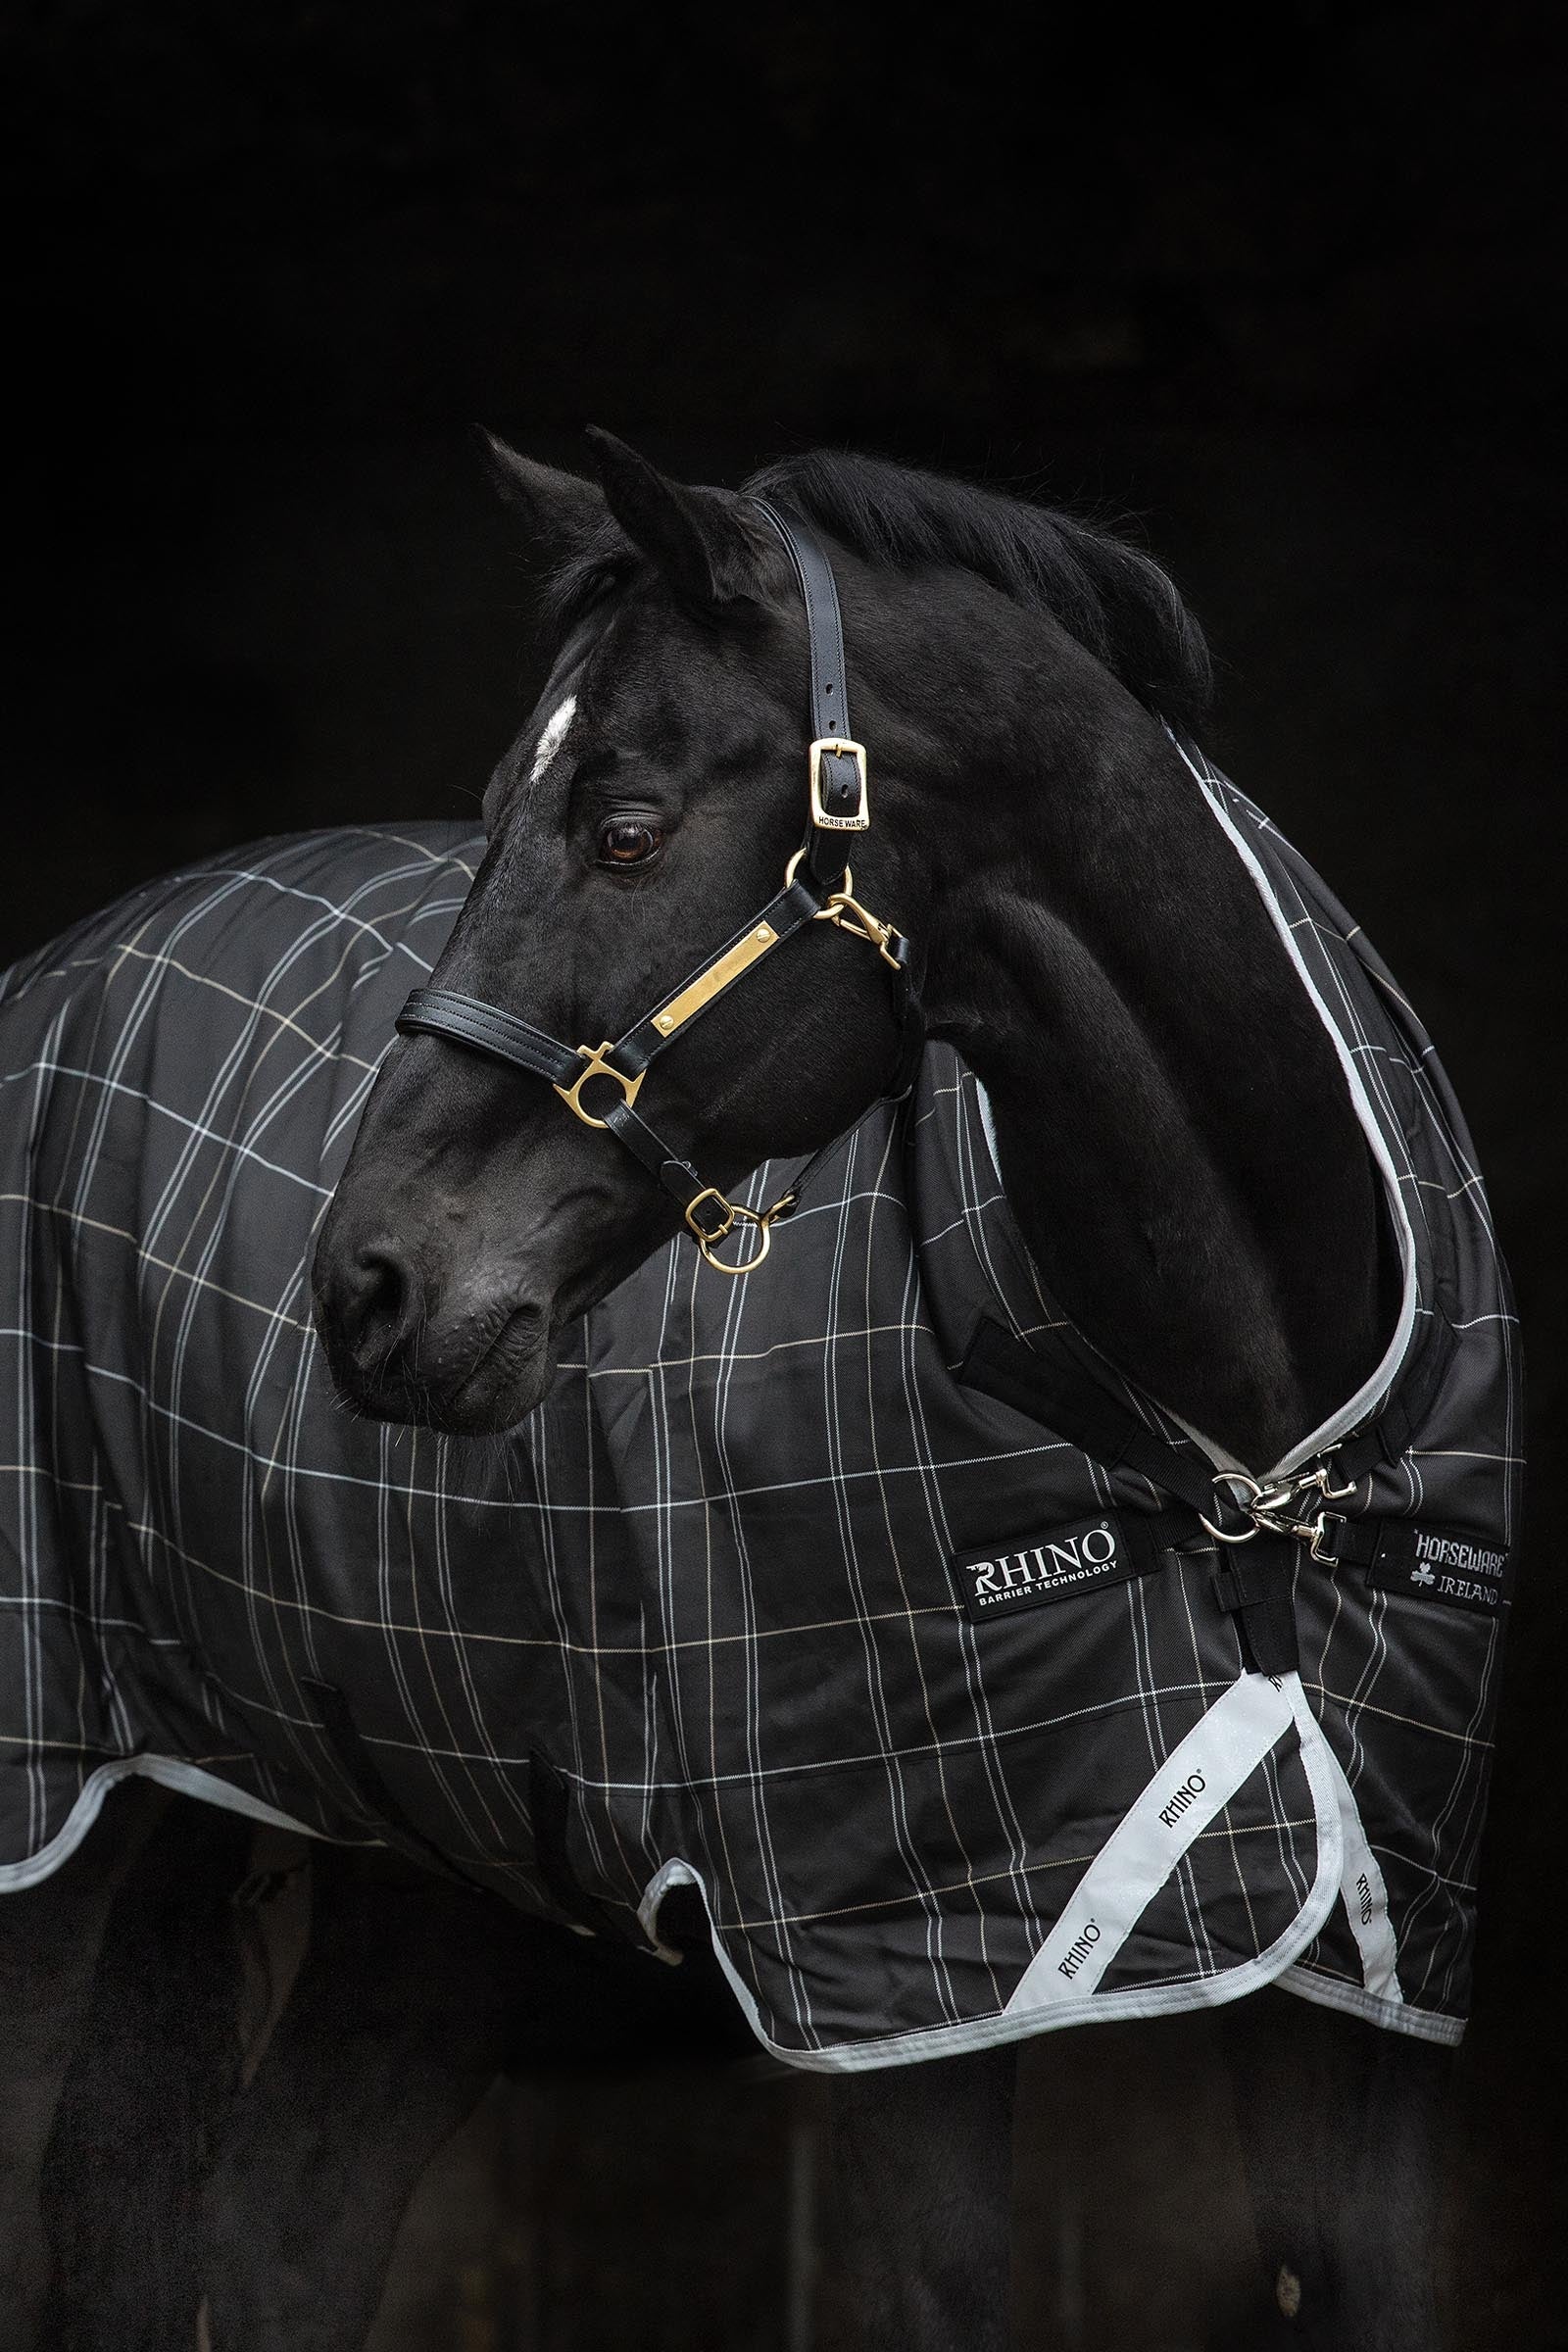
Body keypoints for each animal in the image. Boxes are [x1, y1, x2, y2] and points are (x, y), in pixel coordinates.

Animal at [0, 432, 1513, 2349]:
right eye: (494, 811)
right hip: (67, 1807)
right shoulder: (912, 1981)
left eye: (625, 828)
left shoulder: (1379, 1981)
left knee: (284, 2228)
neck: (1240, 1473)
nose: (367, 1291)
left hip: (439, 1856)